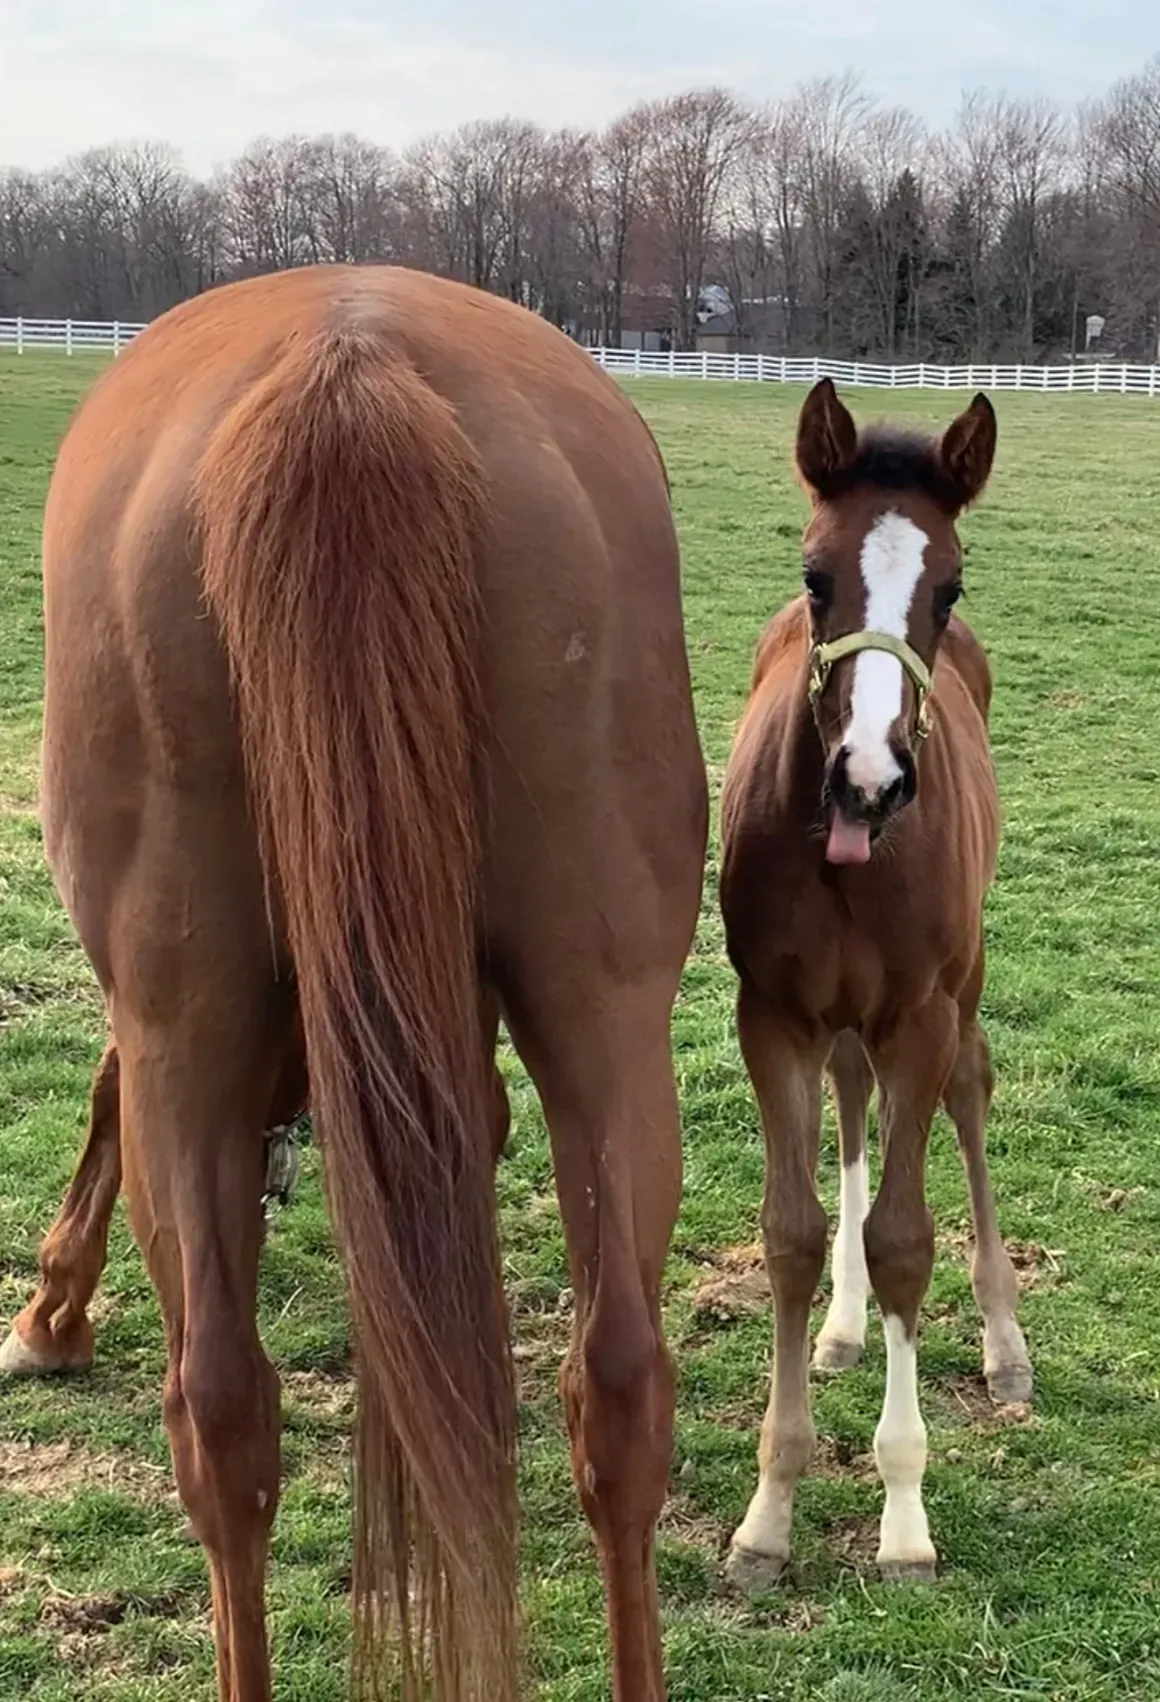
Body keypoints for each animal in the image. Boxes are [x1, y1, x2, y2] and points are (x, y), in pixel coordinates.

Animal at [4, 264, 708, 1702]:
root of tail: (350, 369)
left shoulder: (151, 1023)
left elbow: (97, 1096)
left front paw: (48, 1308)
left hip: (189, 1024)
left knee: (214, 1410)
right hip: (604, 1013)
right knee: (607, 1386)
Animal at [718, 378, 1031, 1594]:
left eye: (948, 585)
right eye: (816, 576)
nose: (870, 776)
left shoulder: (921, 1014)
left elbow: (905, 1238)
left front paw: (903, 1517)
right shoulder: (770, 1014)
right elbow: (794, 1234)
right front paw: (768, 1513)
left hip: (960, 986)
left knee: (969, 1096)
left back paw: (1003, 1344)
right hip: (837, 1019)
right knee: (853, 1104)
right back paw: (847, 1328)